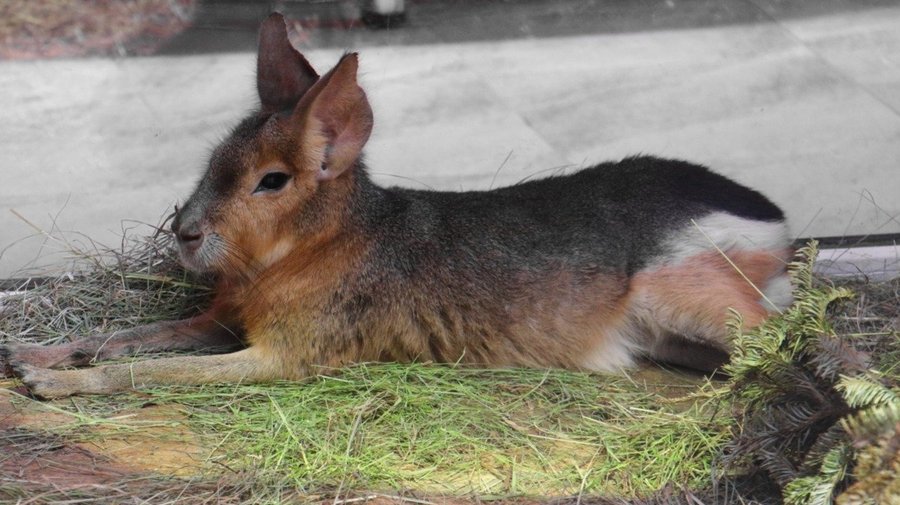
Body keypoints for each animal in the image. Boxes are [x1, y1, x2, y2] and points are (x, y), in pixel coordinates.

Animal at [1, 13, 793, 399]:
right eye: (216, 156)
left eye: (271, 181)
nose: (186, 233)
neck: (312, 251)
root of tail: (776, 223)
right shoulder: (220, 321)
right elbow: (129, 336)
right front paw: (34, 352)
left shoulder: (284, 355)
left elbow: (151, 369)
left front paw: (50, 383)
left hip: (695, 300)